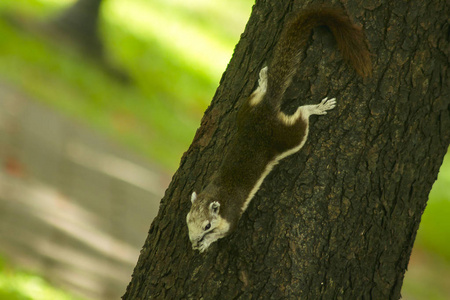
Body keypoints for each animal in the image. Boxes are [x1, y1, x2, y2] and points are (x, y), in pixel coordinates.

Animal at [185, 7, 370, 252]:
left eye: (207, 225)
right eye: (188, 220)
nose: (194, 242)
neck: (216, 194)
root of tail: (267, 109)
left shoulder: (231, 217)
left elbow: (225, 232)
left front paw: (205, 245)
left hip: (287, 137)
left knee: (301, 115)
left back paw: (316, 107)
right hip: (247, 110)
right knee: (261, 94)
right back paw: (265, 80)